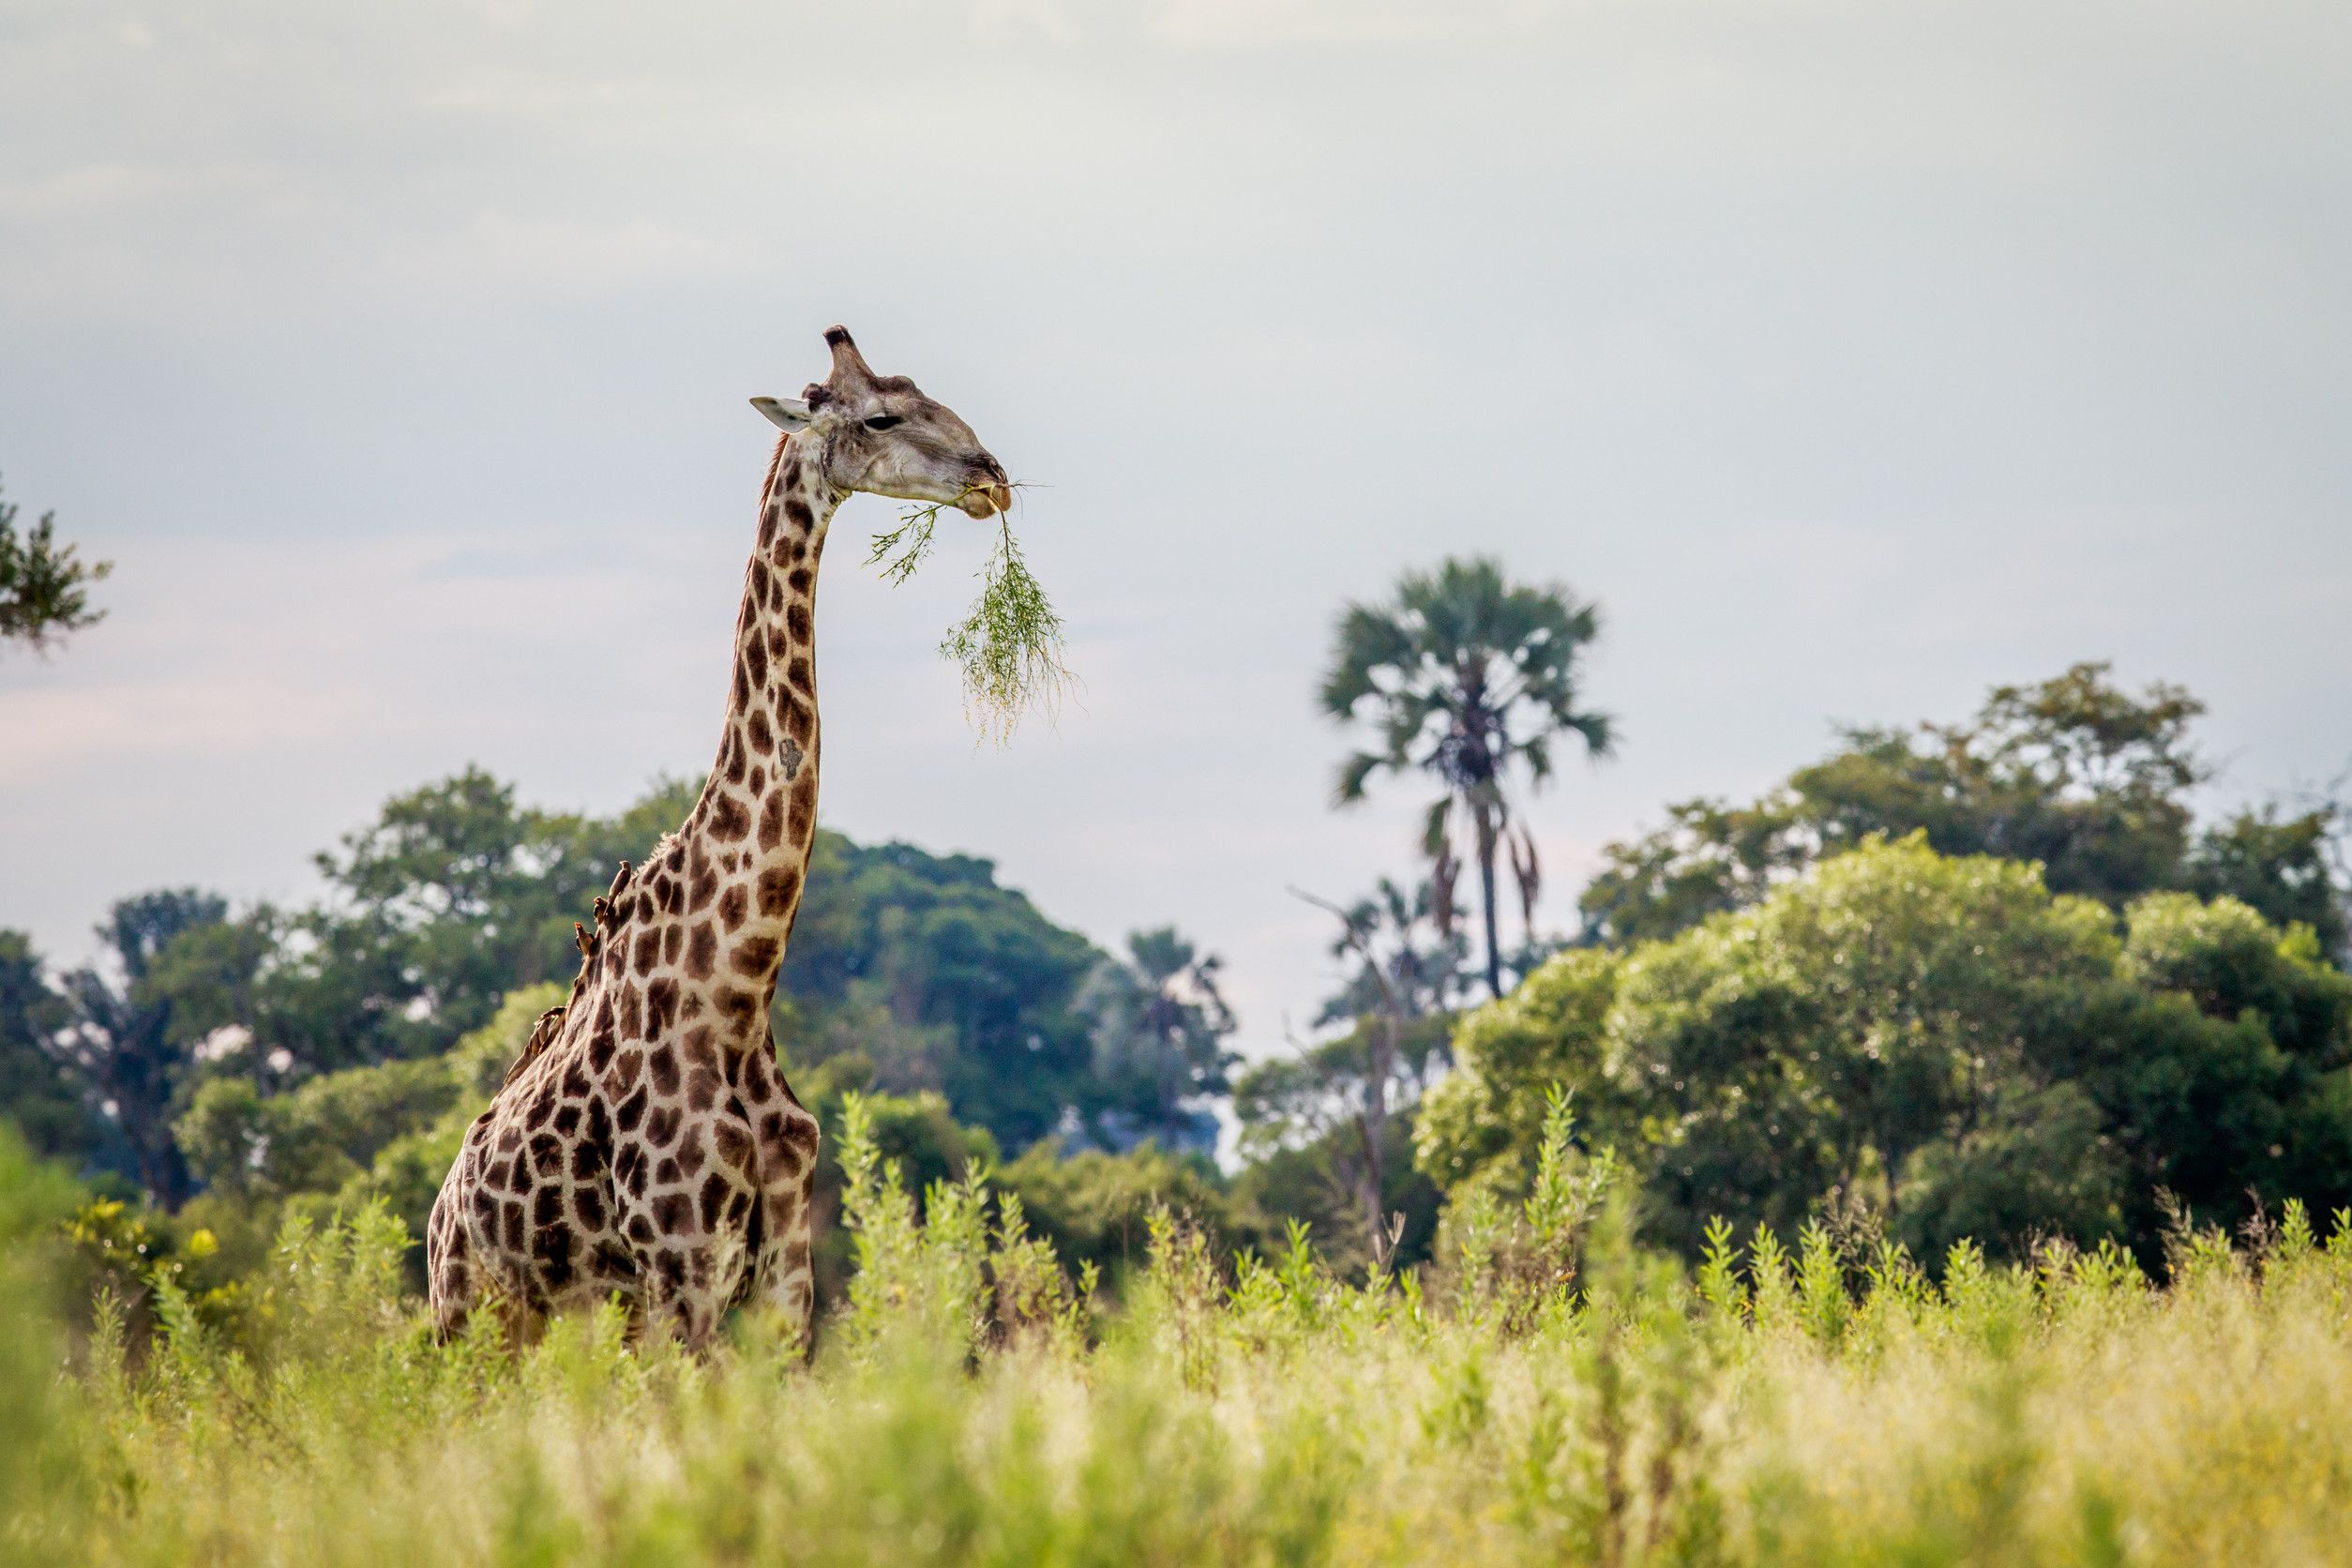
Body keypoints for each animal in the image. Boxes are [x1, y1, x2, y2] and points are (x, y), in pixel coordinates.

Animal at [425, 326, 1013, 1349]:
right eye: (881, 417)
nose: (991, 476)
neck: (736, 992)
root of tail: (437, 1213)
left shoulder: (782, 1283)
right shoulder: (682, 1270)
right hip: (469, 1321)